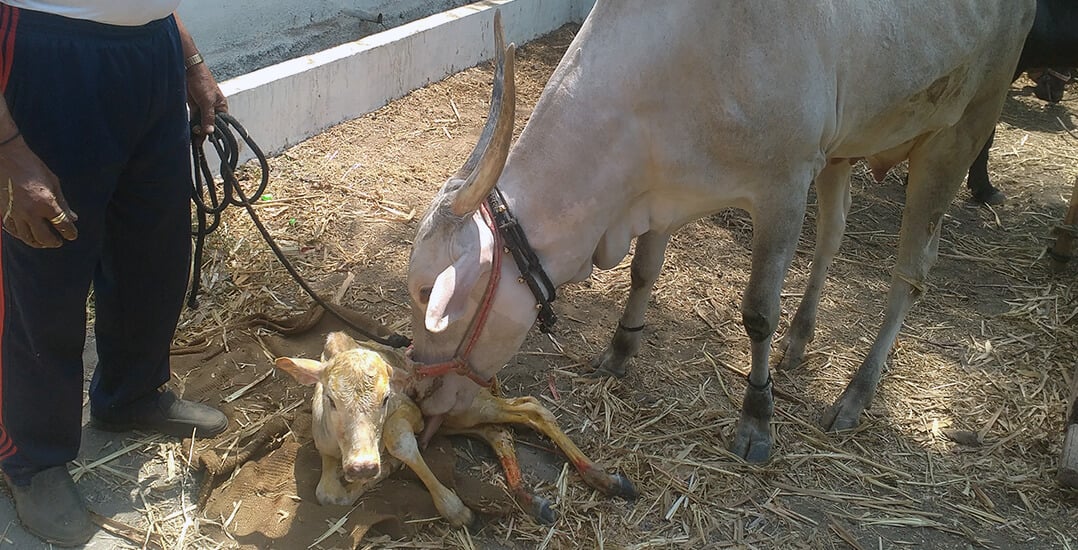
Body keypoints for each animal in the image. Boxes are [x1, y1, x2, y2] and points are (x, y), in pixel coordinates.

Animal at [273, 330, 633, 524]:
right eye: (331, 399)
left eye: (386, 397)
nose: (363, 466)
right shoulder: (324, 447)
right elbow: (326, 494)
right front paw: (369, 476)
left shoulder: (409, 415)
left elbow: (400, 444)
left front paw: (455, 508)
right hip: (459, 421)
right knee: (500, 433)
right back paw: (530, 498)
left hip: (469, 406)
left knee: (533, 408)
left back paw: (603, 477)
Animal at [405, 2, 1034, 461]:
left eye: (431, 297)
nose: (418, 393)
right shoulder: (664, 188)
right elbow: (643, 271)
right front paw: (619, 350)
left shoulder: (783, 188)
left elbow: (757, 313)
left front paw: (757, 419)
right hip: (844, 149)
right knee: (833, 235)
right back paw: (801, 340)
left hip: (962, 127)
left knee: (912, 269)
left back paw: (856, 393)